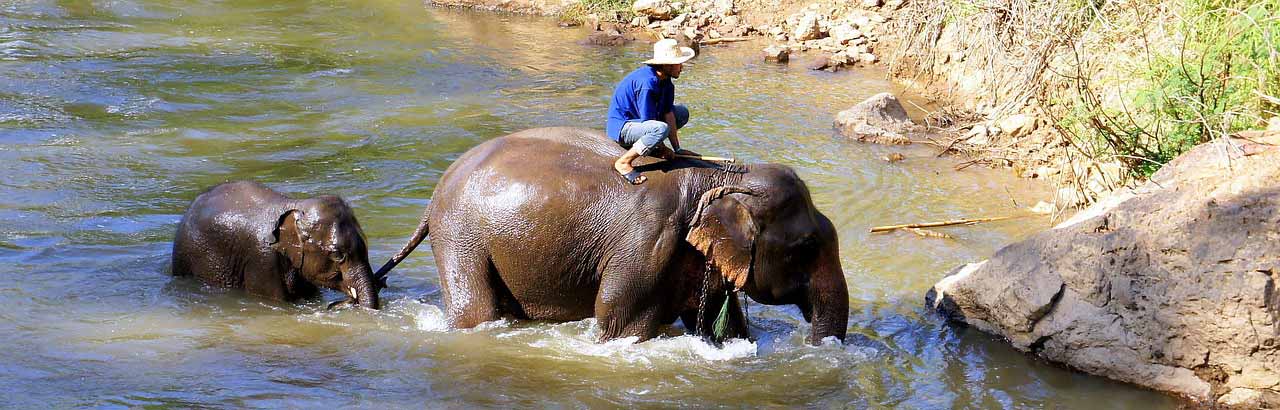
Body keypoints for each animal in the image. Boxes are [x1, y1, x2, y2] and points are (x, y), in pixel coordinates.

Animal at [373, 127, 844, 343]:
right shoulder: (647, 244)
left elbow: (721, 325)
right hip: (460, 236)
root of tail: (438, 190)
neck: (719, 179)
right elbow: (620, 323)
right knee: (476, 311)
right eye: (806, 246)